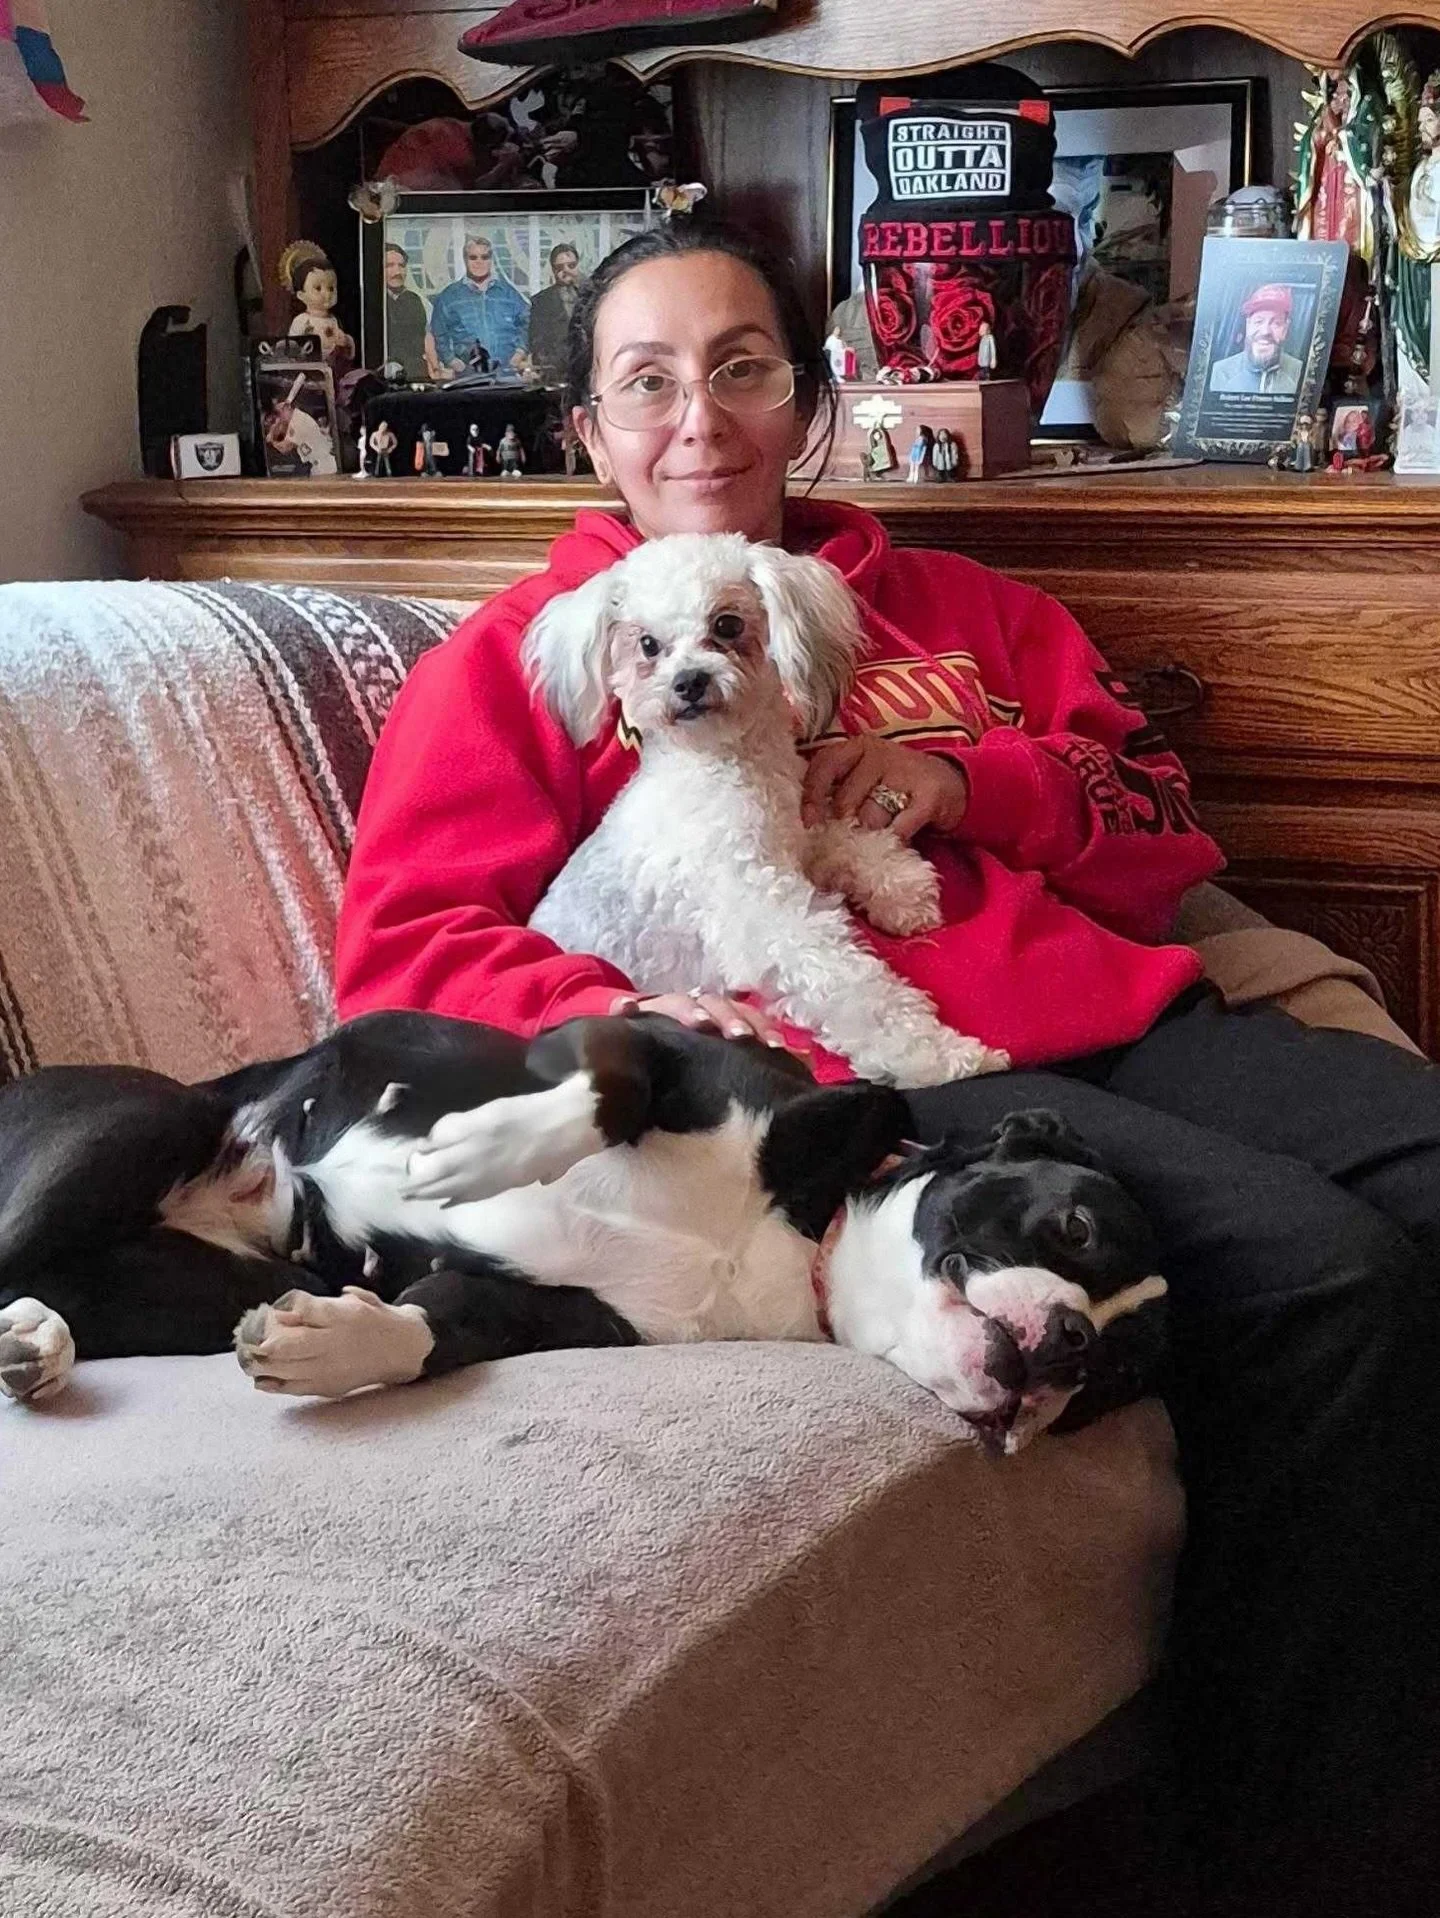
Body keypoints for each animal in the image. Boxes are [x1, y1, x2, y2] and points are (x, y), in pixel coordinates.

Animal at [0, 1010, 1166, 1454]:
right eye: (1075, 1226)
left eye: (1109, 1376)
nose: (1070, 1342)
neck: (804, 1239)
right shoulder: (640, 1034)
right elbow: (614, 1082)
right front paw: (484, 1150)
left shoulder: (556, 1314)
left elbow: (433, 1326)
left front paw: (331, 1340)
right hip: (140, 1123)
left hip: (179, 1289)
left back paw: (34, 1339)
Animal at [522, 532, 1009, 1088]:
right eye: (647, 645)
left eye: (727, 624)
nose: (689, 681)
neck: (727, 766)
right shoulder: (763, 911)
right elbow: (856, 988)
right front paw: (941, 1055)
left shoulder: (794, 839)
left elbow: (847, 836)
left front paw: (903, 891)